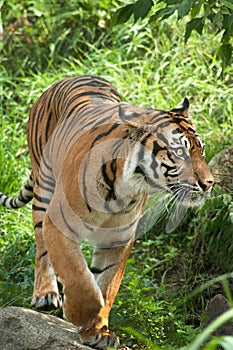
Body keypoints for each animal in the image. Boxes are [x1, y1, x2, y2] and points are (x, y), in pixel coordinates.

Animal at [0, 75, 215, 348]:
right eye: (179, 152)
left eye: (202, 150)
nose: (209, 183)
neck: (126, 185)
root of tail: (65, 78)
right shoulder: (59, 223)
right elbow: (78, 275)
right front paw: (79, 312)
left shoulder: (118, 237)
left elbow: (107, 285)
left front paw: (98, 331)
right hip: (43, 189)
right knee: (41, 247)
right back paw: (46, 294)